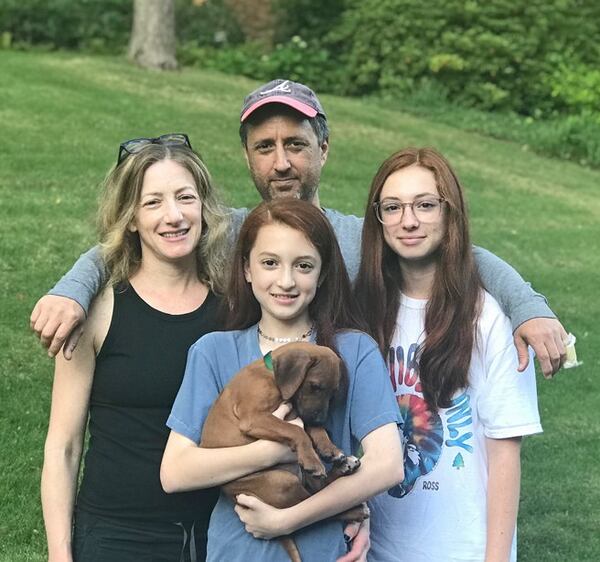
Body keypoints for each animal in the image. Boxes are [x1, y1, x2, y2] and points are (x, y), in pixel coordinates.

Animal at [200, 342, 366, 560]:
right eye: (314, 386)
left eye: (333, 392)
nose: (321, 419)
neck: (272, 376)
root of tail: (233, 496)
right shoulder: (254, 418)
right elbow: (297, 430)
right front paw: (313, 459)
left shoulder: (298, 411)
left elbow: (312, 430)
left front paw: (329, 448)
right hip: (282, 481)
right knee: (314, 506)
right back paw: (354, 509)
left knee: (320, 491)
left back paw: (344, 466)